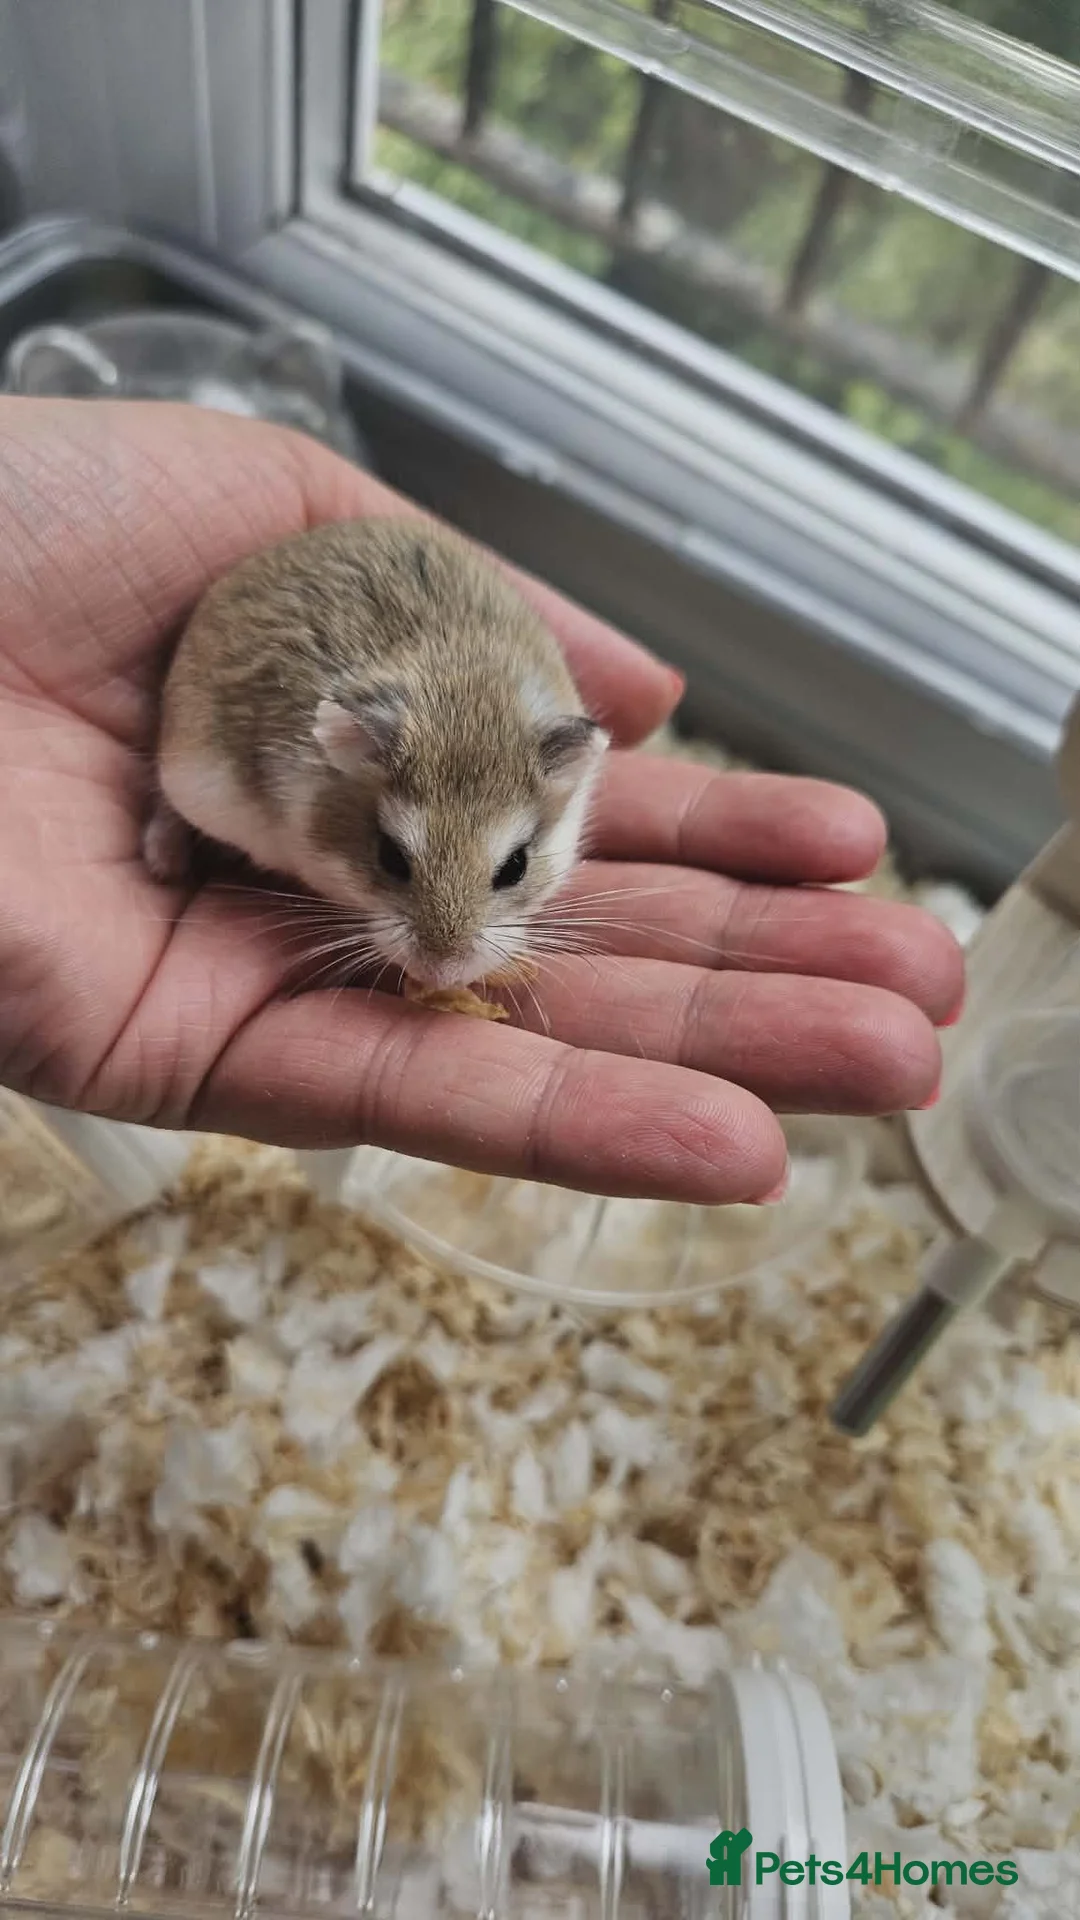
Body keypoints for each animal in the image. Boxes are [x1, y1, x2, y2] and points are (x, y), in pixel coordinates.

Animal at [144, 518, 610, 991]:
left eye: (516, 866)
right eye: (390, 857)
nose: (441, 973)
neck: (462, 706)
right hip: (189, 775)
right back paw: (164, 864)